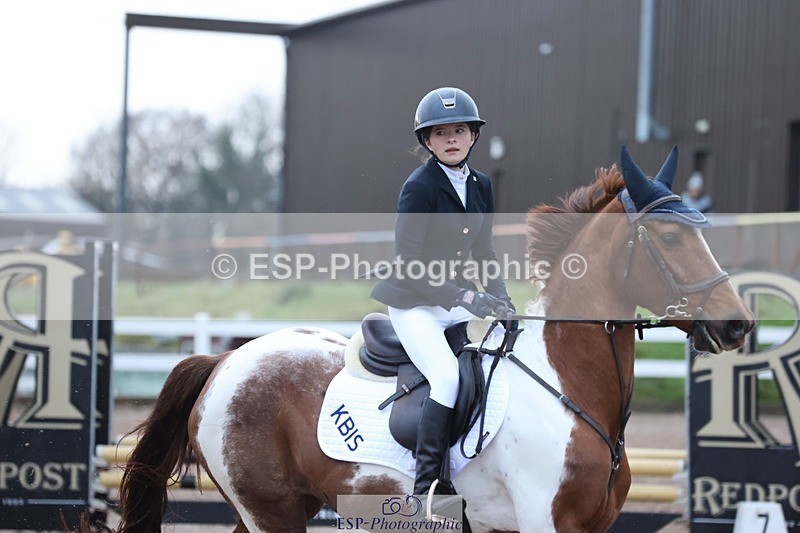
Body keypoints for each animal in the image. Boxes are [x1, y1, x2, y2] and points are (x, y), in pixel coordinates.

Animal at [114, 147, 754, 532]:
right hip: (269, 512)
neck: (567, 387)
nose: (738, 324)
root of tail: (225, 358)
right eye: (669, 238)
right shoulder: (545, 522)